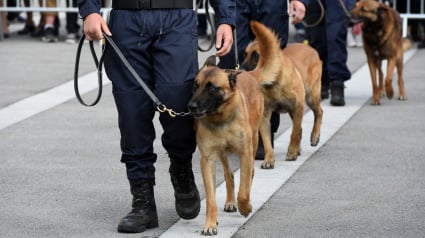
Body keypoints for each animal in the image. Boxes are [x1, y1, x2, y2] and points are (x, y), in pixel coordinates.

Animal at [186, 55, 264, 236]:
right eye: (195, 85)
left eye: (212, 88)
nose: (190, 107)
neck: (221, 119)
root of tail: (247, 73)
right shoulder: (208, 160)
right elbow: (210, 199)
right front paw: (210, 223)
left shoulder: (245, 153)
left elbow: (243, 191)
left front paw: (245, 207)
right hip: (222, 154)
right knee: (229, 175)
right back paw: (230, 201)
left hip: (254, 141)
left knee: (249, 175)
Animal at [243, 20, 322, 169]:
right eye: (245, 54)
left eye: (256, 55)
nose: (240, 70)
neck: (274, 82)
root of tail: (309, 47)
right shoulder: (265, 116)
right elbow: (267, 141)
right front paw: (268, 159)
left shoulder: (298, 107)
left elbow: (294, 133)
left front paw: (291, 152)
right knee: (300, 127)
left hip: (311, 97)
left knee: (318, 112)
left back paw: (314, 136)